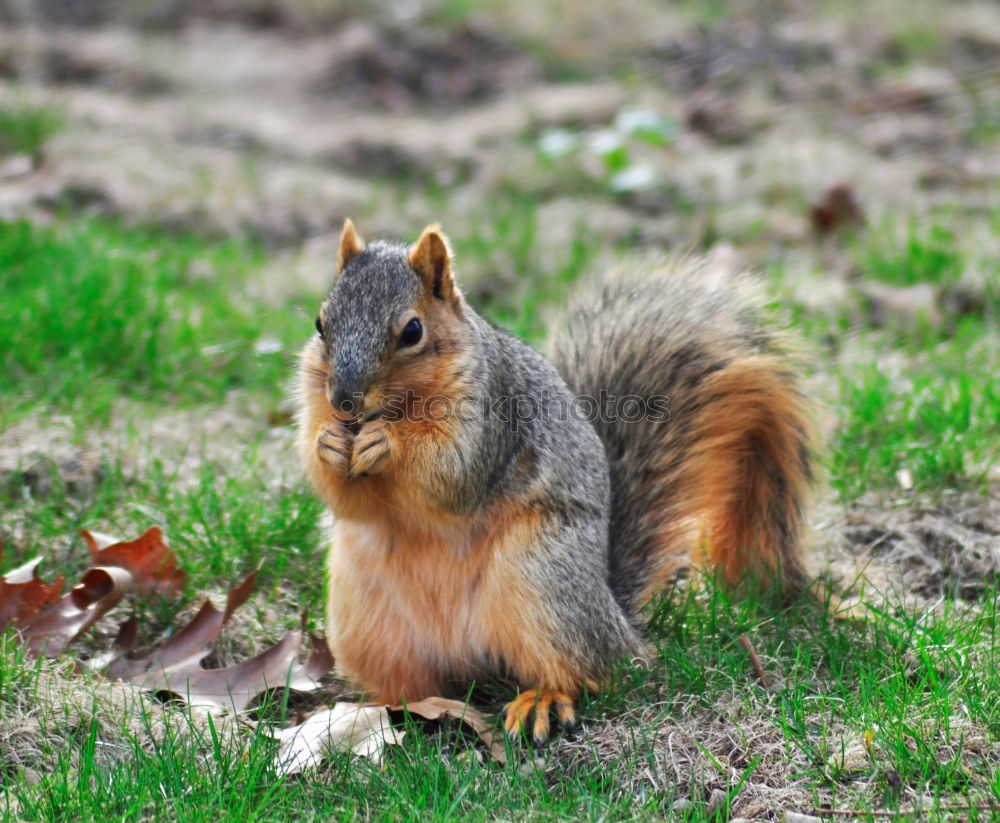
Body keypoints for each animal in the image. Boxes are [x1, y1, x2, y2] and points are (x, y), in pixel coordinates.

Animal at [296, 219, 812, 748]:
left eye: (412, 331)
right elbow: (344, 497)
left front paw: (388, 442)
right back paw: (379, 711)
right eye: (320, 324)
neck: (399, 407)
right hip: (366, 617)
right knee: (415, 683)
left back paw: (543, 699)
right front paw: (327, 444)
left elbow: (451, 474)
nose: (344, 400)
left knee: (593, 670)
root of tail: (618, 619)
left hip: (543, 576)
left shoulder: (491, 417)